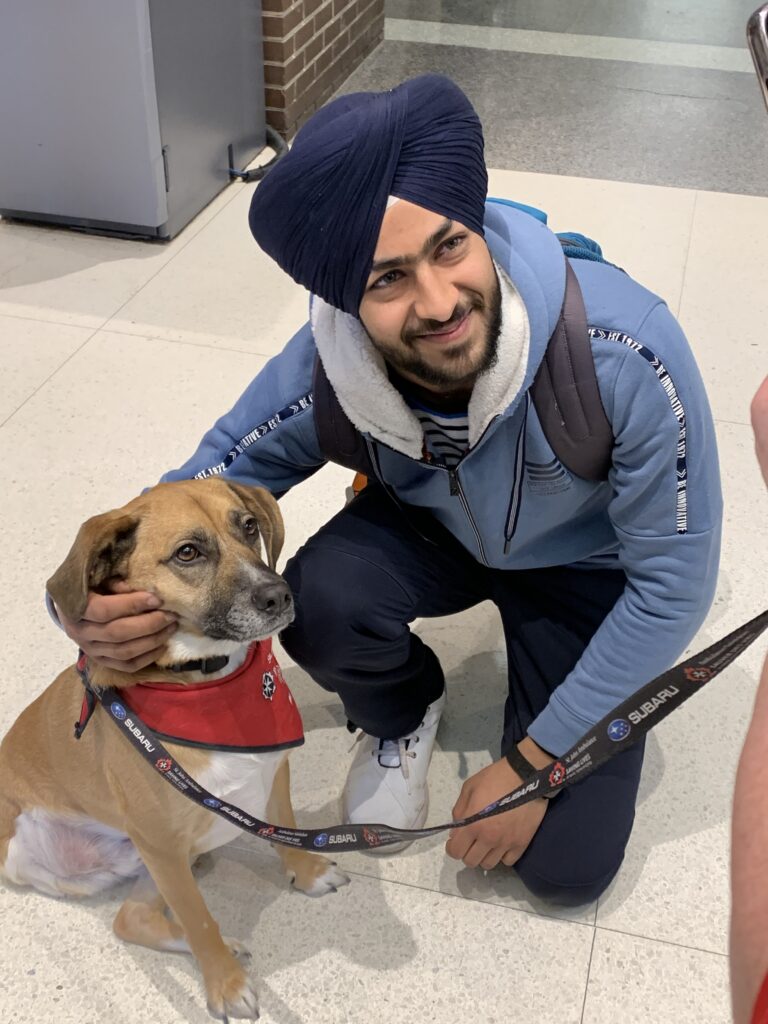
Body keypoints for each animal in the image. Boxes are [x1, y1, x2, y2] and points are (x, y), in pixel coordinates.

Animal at [0, 481, 348, 1024]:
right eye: (188, 553)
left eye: (249, 526)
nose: (280, 595)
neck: (207, 681)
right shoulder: (161, 845)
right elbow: (200, 920)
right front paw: (225, 985)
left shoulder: (272, 773)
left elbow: (287, 831)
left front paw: (308, 873)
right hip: (86, 856)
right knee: (142, 918)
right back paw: (225, 948)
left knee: (131, 918)